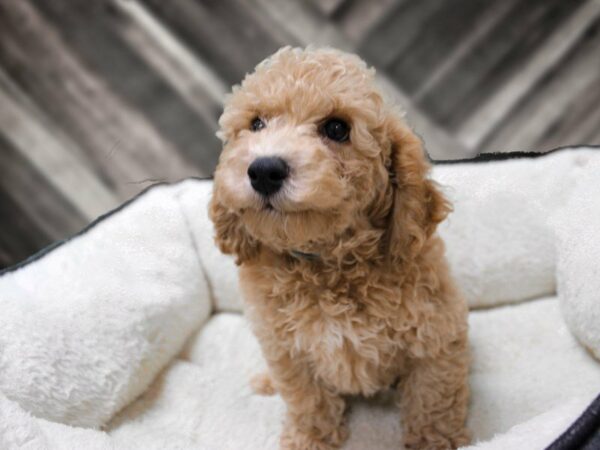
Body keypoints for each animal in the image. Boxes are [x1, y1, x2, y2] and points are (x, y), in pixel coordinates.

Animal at [209, 47, 472, 448]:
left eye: (337, 129)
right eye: (256, 124)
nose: (264, 170)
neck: (328, 264)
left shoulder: (435, 339)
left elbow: (433, 403)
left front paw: (437, 443)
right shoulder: (287, 351)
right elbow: (307, 400)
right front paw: (307, 439)